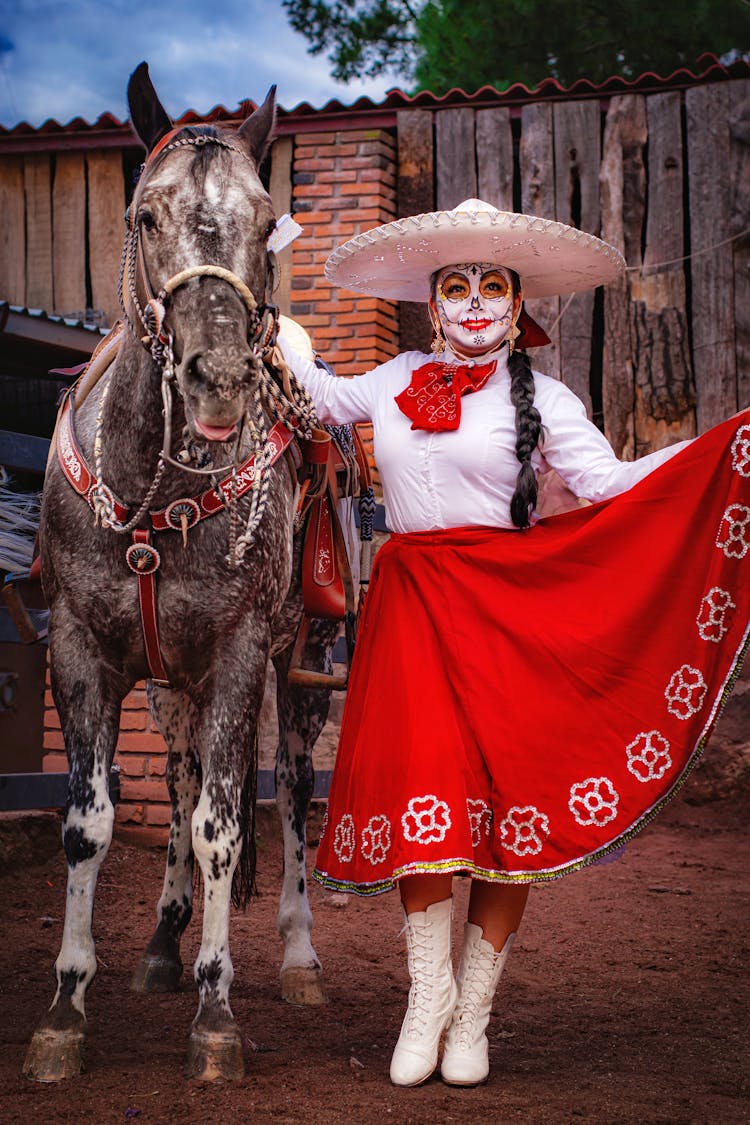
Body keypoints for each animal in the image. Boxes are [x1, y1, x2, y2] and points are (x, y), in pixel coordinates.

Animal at [22, 61, 339, 1080]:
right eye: (145, 214)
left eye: (265, 217)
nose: (220, 376)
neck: (155, 495)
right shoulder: (79, 650)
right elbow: (92, 822)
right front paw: (65, 1009)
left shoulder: (238, 655)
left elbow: (225, 828)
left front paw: (217, 1014)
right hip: (172, 686)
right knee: (185, 774)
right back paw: (164, 942)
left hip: (297, 668)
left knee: (289, 794)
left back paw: (297, 956)